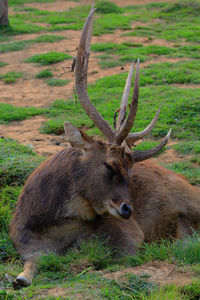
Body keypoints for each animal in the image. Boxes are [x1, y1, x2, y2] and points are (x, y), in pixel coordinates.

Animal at [9, 8, 200, 290]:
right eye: (109, 165)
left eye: (131, 172)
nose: (128, 209)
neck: (45, 225)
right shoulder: (24, 246)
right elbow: (27, 273)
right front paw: (20, 278)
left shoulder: (130, 237)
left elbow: (91, 259)